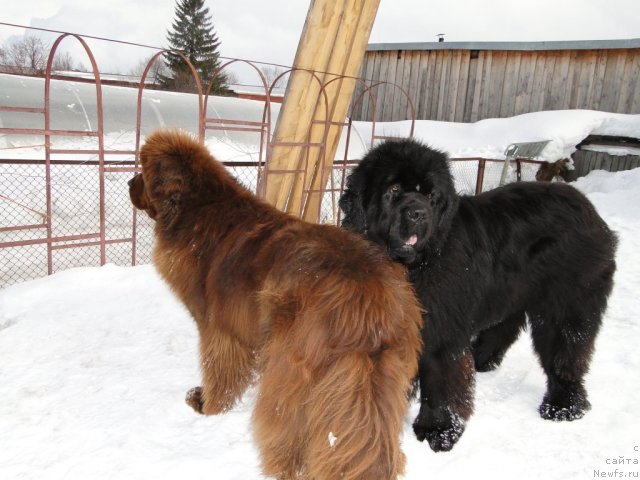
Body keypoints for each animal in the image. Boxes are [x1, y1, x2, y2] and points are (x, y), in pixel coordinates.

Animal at [127, 128, 422, 480]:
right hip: (380, 374)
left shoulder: (218, 328)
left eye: (143, 172)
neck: (197, 209)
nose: (129, 183)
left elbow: (219, 371)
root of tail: (370, 299)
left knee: (285, 422)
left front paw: (207, 407)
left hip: (292, 362)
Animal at [342, 140, 616, 454]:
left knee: (566, 350)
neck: (414, 265)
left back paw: (564, 405)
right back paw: (481, 359)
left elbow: (439, 378)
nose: (418, 214)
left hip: (567, 301)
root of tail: (588, 207)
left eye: (431, 196)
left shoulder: (442, 329)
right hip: (512, 289)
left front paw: (439, 430)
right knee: (506, 325)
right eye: (394, 189)